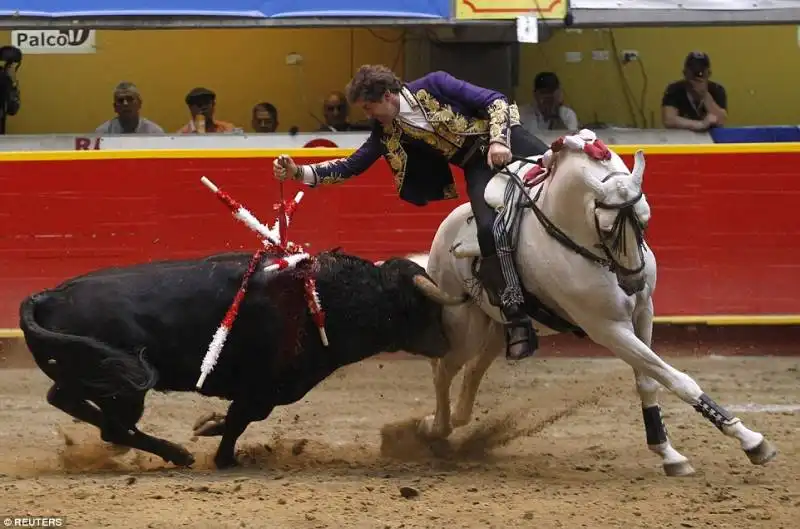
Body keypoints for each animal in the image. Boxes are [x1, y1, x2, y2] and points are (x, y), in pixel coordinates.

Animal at [17, 250, 468, 468]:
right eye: (424, 308)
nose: (448, 343)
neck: (323, 300)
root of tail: (50, 295)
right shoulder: (263, 388)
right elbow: (239, 420)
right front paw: (222, 455)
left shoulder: (265, 391)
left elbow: (237, 418)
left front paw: (208, 427)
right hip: (126, 388)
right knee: (112, 426)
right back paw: (177, 455)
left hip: (98, 378)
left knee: (67, 401)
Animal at [418, 130, 776, 476]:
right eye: (606, 228)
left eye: (645, 219)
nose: (634, 282)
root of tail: (444, 231)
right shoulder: (607, 328)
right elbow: (675, 378)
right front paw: (752, 441)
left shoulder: (643, 312)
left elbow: (649, 379)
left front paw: (669, 453)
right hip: (464, 327)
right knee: (444, 369)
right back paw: (433, 429)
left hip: (497, 328)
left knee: (473, 369)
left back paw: (456, 421)